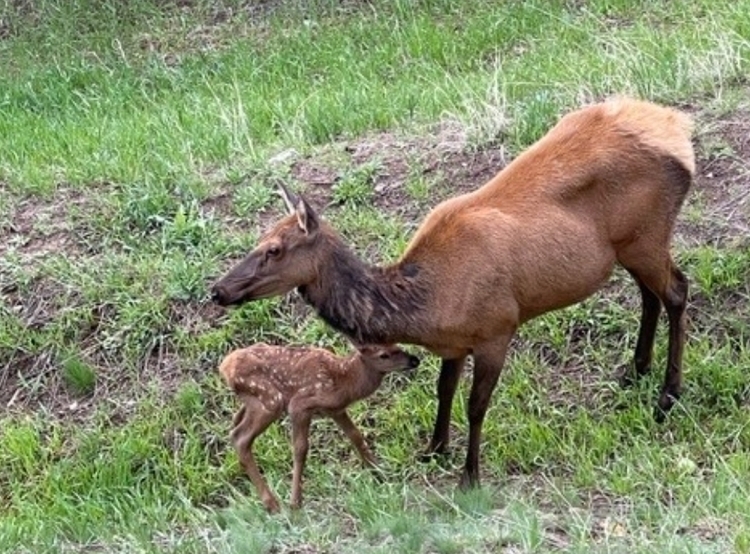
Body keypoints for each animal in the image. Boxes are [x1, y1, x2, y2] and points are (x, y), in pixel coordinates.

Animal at [213, 98, 700, 488]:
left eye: (274, 249)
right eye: (258, 238)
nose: (218, 290)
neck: (426, 305)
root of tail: (679, 128)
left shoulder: (497, 329)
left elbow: (475, 405)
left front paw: (470, 475)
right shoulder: (453, 345)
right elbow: (443, 391)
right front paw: (433, 449)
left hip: (646, 235)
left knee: (677, 291)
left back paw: (668, 394)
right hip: (628, 247)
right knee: (650, 295)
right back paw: (635, 369)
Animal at [220, 342, 424, 512]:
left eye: (397, 345)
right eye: (383, 355)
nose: (415, 360)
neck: (343, 380)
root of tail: (224, 367)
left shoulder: (336, 410)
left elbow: (356, 436)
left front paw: (382, 474)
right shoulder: (300, 405)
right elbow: (301, 449)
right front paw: (295, 503)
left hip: (252, 402)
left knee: (235, 425)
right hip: (270, 400)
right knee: (240, 437)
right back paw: (273, 505)